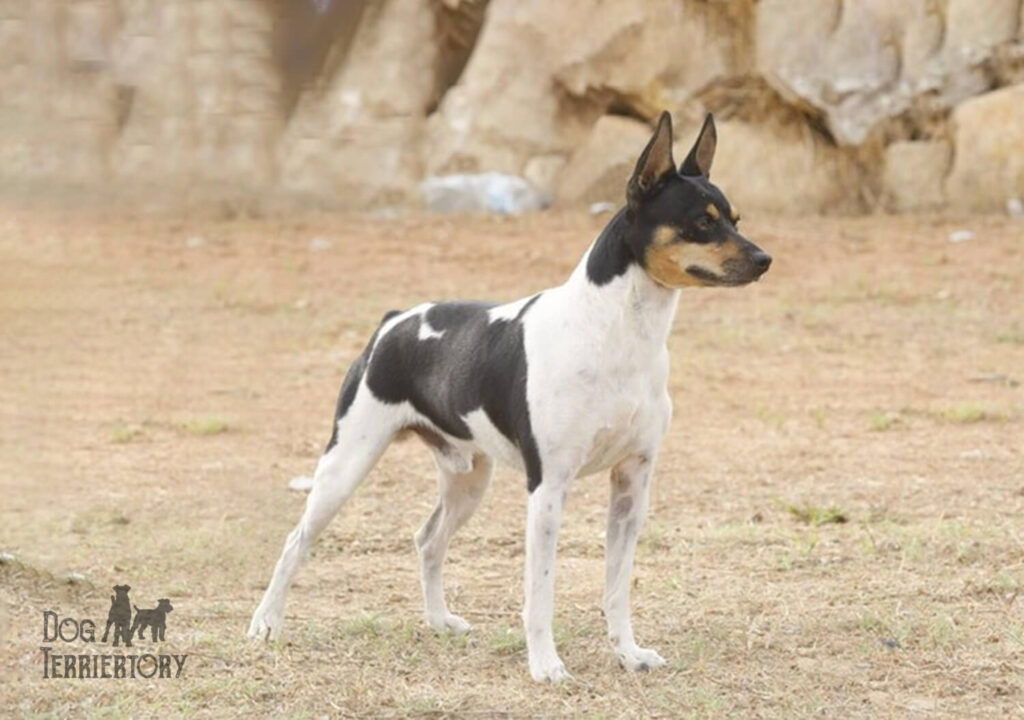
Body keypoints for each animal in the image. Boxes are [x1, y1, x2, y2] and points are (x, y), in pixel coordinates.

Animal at [249, 111, 770, 680]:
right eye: (703, 222)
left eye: (736, 218)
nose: (764, 259)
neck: (615, 331)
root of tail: (394, 322)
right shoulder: (548, 488)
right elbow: (540, 592)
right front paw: (546, 665)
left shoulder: (633, 481)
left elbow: (617, 587)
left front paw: (628, 653)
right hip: (346, 464)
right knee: (295, 541)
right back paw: (266, 624)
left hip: (468, 480)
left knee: (428, 540)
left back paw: (439, 621)